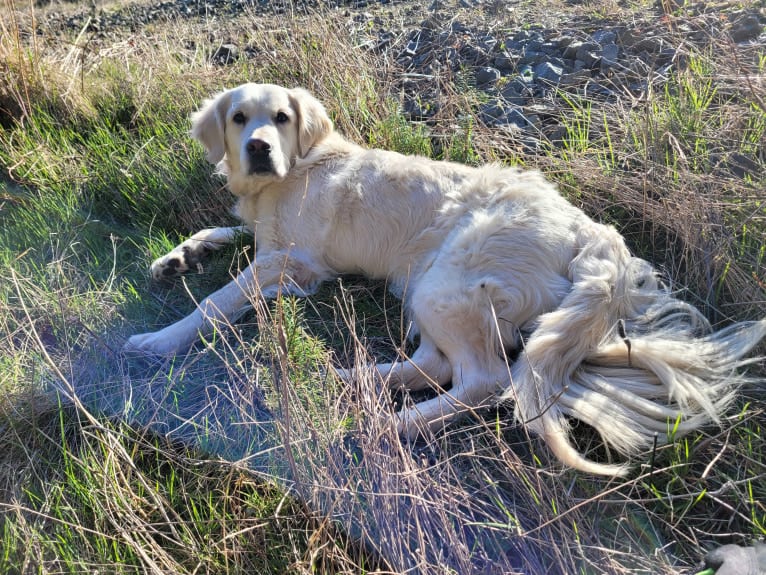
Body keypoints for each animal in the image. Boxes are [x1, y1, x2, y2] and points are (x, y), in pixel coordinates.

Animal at [126, 82, 766, 476]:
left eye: (281, 118)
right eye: (239, 118)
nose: (258, 148)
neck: (293, 171)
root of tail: (593, 231)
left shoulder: (294, 260)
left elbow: (217, 299)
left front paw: (160, 340)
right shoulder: (277, 250)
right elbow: (225, 233)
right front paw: (179, 257)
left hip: (446, 283)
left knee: (483, 379)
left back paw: (389, 426)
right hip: (425, 283)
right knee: (436, 366)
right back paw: (353, 380)